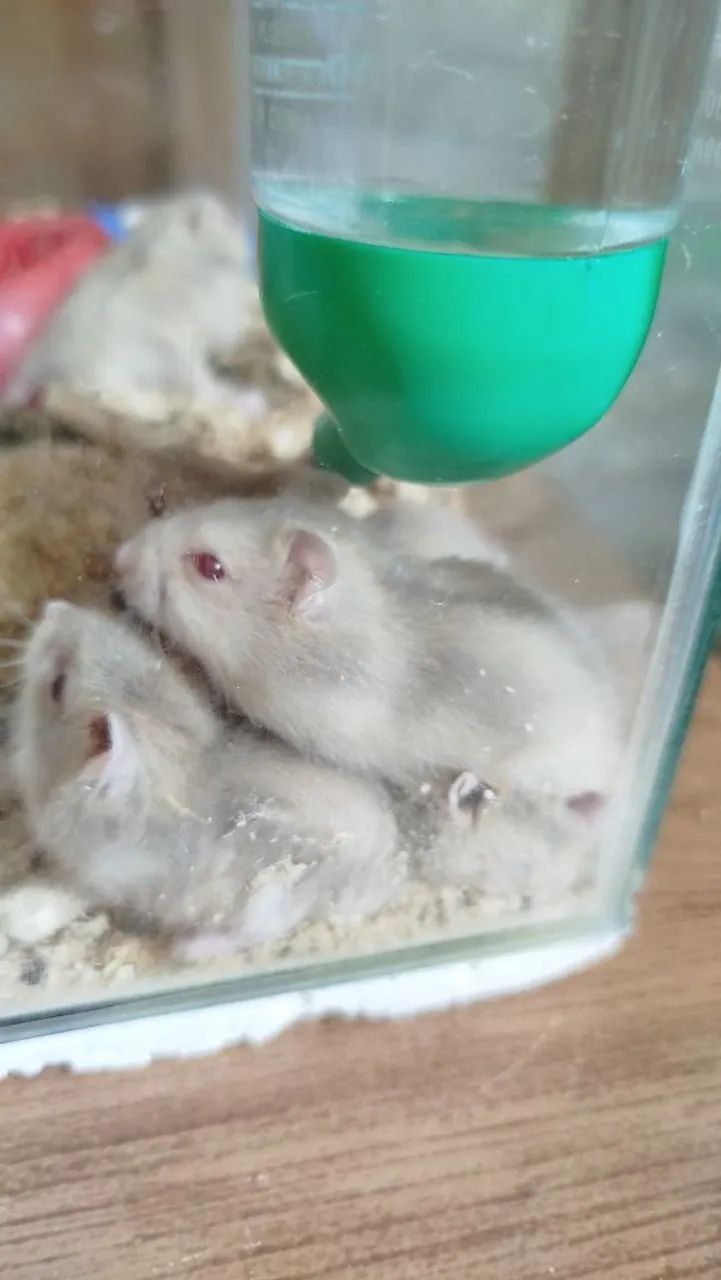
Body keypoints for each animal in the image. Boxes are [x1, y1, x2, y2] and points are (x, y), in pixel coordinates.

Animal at [12, 603, 400, 954]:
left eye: (57, 685)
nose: (52, 608)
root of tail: (388, 874)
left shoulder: (100, 875)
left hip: (273, 895)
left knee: (259, 930)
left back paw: (188, 949)